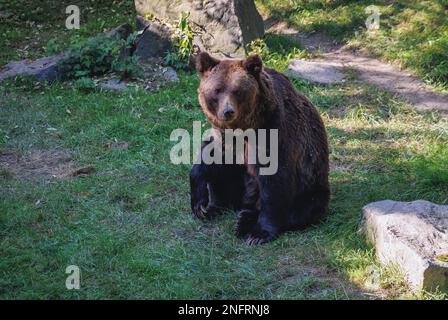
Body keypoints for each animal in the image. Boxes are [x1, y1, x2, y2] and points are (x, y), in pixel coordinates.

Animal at [189, 52, 328, 245]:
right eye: (217, 89)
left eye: (237, 90)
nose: (228, 111)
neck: (245, 128)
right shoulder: (226, 139)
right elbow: (211, 157)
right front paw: (199, 204)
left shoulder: (274, 133)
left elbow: (274, 183)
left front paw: (259, 233)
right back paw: (215, 208)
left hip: (312, 183)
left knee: (304, 208)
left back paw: (244, 221)